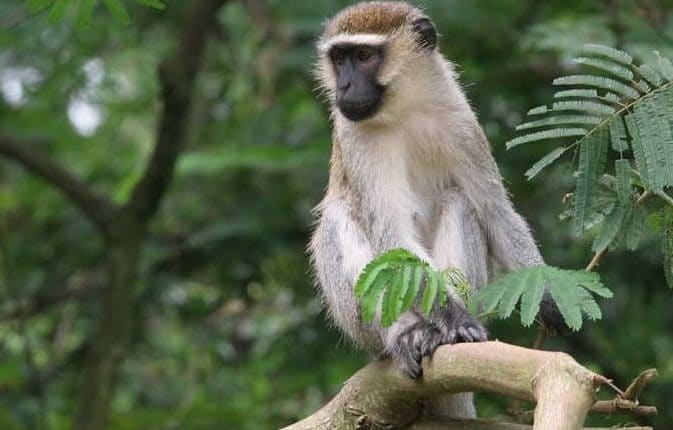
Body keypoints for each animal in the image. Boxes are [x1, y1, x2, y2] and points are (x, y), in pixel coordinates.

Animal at [309, 1, 565, 419]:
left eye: (363, 56)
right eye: (338, 58)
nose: (343, 86)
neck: (405, 109)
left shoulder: (460, 120)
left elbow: (494, 211)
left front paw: (547, 297)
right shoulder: (354, 134)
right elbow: (392, 239)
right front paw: (454, 319)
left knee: (459, 201)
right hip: (363, 327)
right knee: (336, 220)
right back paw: (409, 334)